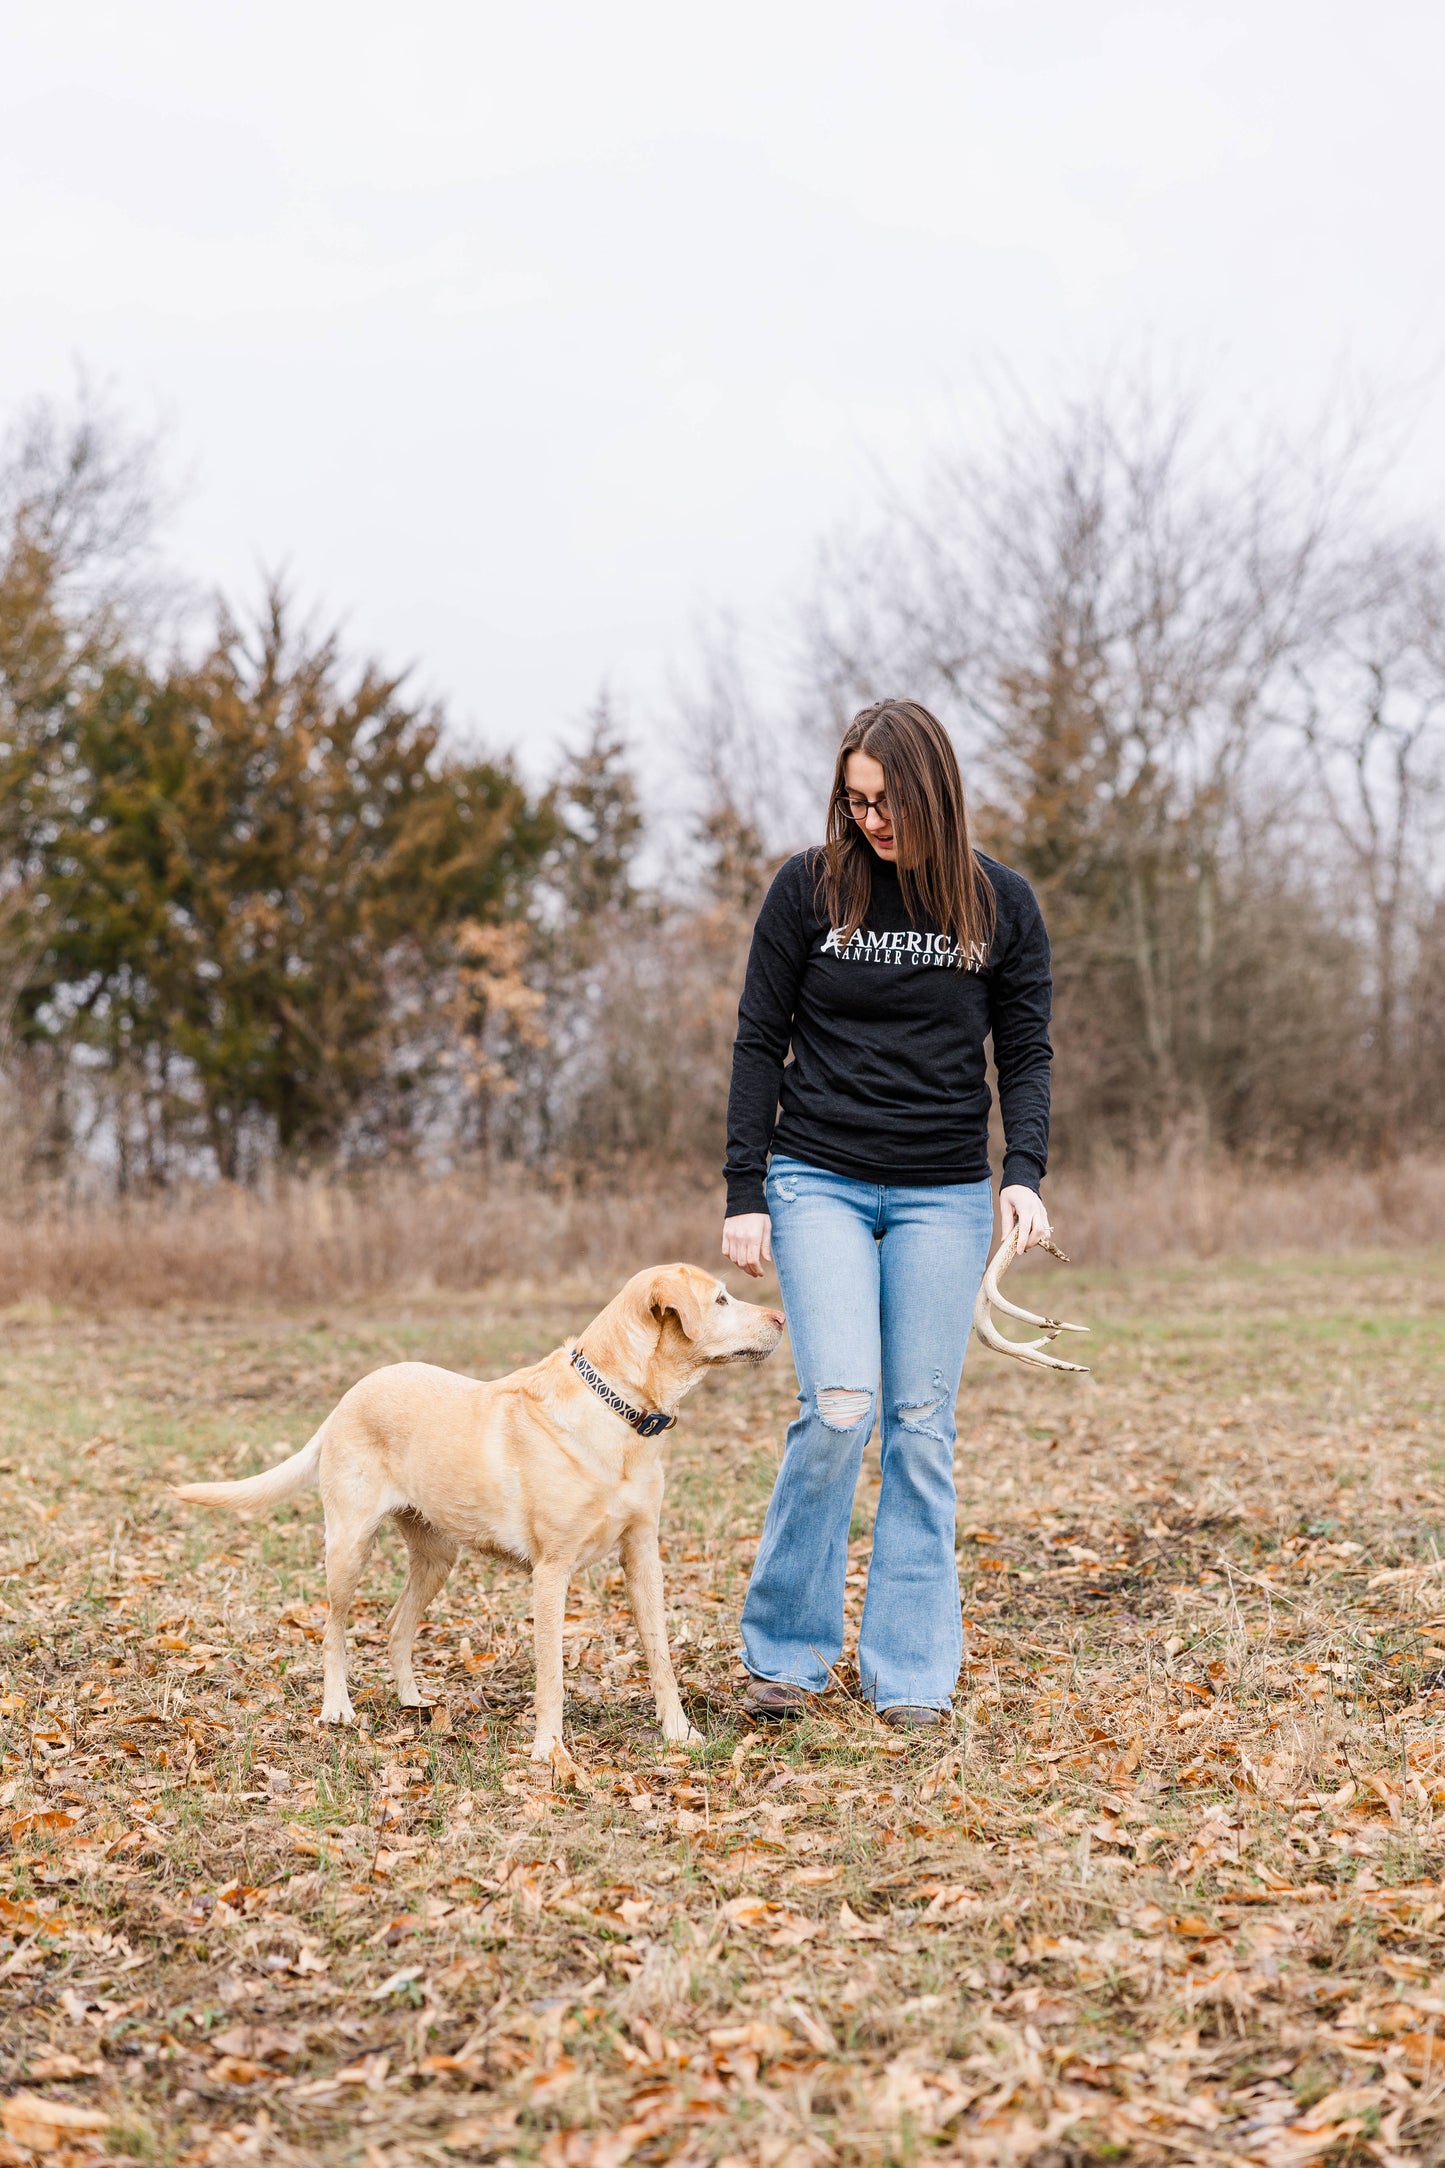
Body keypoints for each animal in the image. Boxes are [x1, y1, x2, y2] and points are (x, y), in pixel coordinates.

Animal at [173, 1266, 784, 1760]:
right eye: (722, 1299)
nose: (780, 1317)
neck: (622, 1412)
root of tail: (347, 1397)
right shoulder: (551, 1572)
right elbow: (550, 1673)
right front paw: (549, 1750)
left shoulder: (643, 1556)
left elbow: (660, 1657)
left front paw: (679, 1733)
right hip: (348, 1547)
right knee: (333, 1630)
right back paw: (337, 1708)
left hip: (437, 1557)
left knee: (396, 1627)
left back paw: (413, 1701)